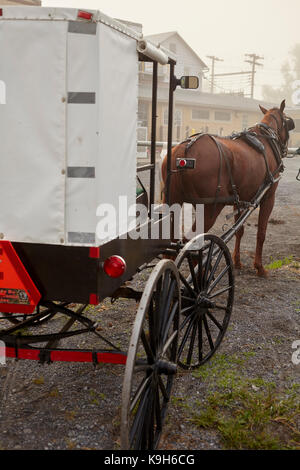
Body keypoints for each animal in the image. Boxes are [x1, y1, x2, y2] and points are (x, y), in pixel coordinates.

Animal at [162, 99, 296, 276]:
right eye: (288, 123)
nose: (285, 149)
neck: (266, 141)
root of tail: (183, 151)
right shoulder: (269, 197)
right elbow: (261, 233)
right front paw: (259, 267)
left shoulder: (240, 200)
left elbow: (239, 231)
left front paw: (237, 261)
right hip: (211, 207)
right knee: (190, 241)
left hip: (174, 200)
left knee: (170, 243)